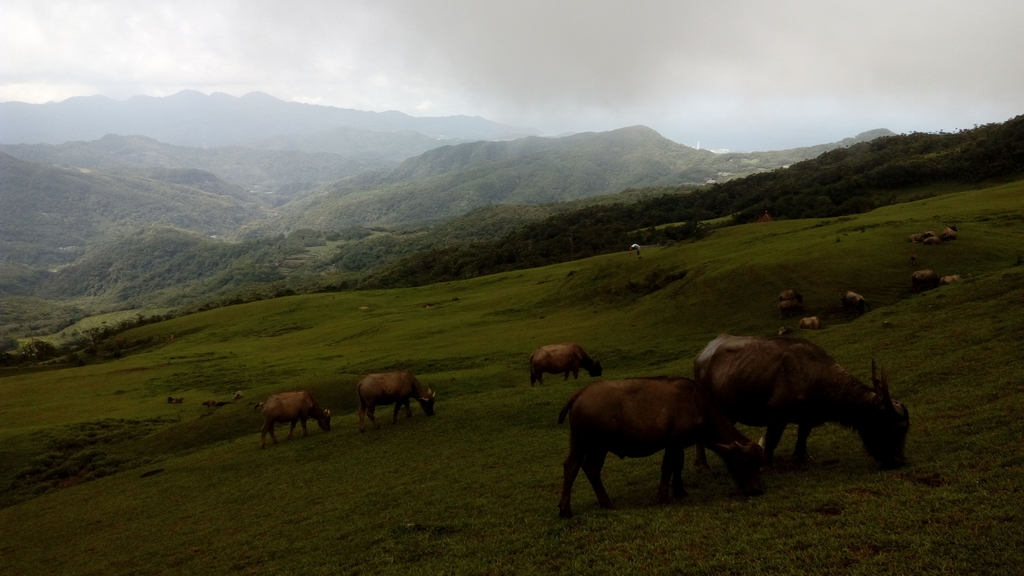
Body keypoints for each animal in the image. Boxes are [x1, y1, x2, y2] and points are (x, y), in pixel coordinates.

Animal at [557, 377, 765, 516]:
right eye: (746, 463)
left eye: (759, 464)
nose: (757, 489)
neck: (697, 404)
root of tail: (581, 392)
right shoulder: (673, 442)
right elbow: (668, 467)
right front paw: (663, 496)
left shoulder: (679, 445)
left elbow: (678, 466)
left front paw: (680, 491)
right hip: (597, 447)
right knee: (591, 468)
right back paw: (607, 503)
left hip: (578, 443)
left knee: (571, 466)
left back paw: (565, 509)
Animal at [692, 334, 909, 469]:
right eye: (893, 428)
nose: (899, 461)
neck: (816, 375)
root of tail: (702, 355)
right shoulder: (777, 415)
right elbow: (772, 439)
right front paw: (766, 464)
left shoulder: (808, 417)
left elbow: (803, 435)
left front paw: (802, 456)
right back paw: (703, 464)